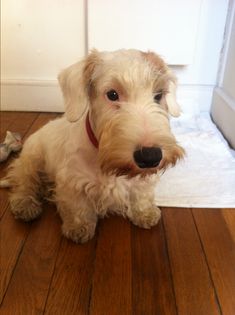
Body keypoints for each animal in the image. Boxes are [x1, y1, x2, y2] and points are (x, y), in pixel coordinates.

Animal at [2, 49, 185, 243]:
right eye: (112, 94)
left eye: (158, 95)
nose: (151, 156)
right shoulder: (72, 182)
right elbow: (78, 206)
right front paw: (79, 227)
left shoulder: (141, 181)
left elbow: (141, 194)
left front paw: (145, 213)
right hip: (31, 159)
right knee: (23, 182)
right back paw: (25, 205)